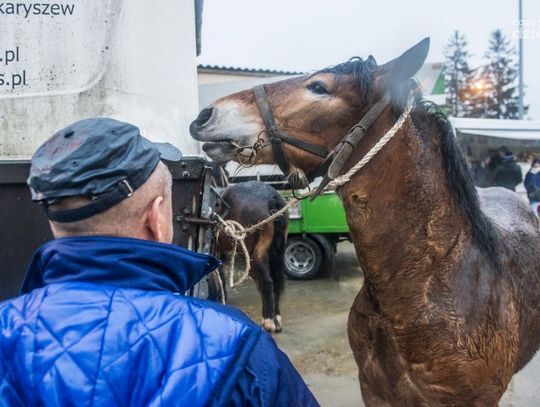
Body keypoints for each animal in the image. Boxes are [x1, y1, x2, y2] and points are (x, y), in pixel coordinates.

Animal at [211, 180, 288, 333]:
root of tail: (271, 197)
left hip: (251, 254)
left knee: (266, 282)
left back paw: (268, 321)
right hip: (276, 253)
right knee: (276, 281)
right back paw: (276, 318)